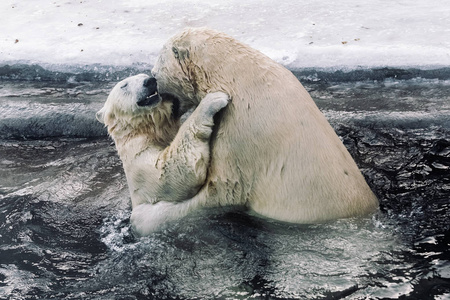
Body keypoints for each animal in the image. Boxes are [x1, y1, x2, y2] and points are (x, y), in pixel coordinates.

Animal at [95, 74, 229, 233]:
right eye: (124, 85)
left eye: (144, 76)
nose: (150, 81)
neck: (145, 130)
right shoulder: (137, 157)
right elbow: (165, 173)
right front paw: (213, 100)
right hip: (146, 216)